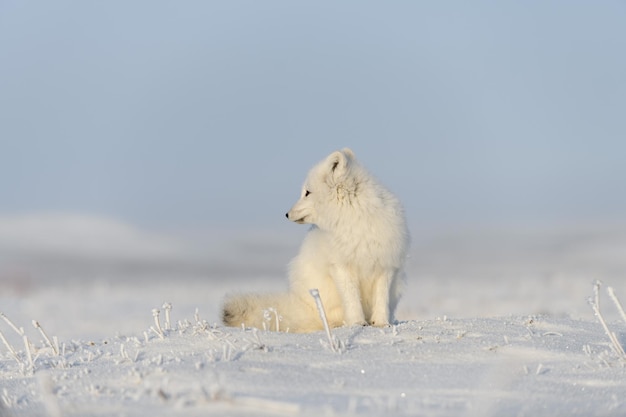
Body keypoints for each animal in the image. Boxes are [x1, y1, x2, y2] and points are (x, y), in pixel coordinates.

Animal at [221, 148, 410, 334]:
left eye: (307, 193)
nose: (286, 214)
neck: (355, 220)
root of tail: (300, 306)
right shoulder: (340, 266)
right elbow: (352, 300)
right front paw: (357, 323)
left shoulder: (386, 266)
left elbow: (382, 300)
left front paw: (381, 323)